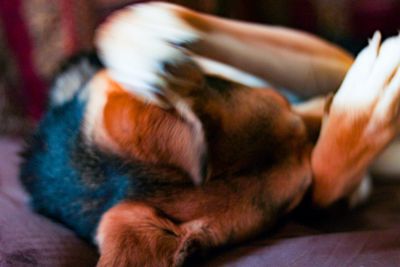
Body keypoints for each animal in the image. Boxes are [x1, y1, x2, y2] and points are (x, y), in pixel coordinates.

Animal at [20, 2, 400, 267]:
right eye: (293, 203)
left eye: (281, 103)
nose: (329, 100)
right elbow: (329, 178)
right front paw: (364, 111)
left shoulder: (324, 59)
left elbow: (134, 23)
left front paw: (145, 38)